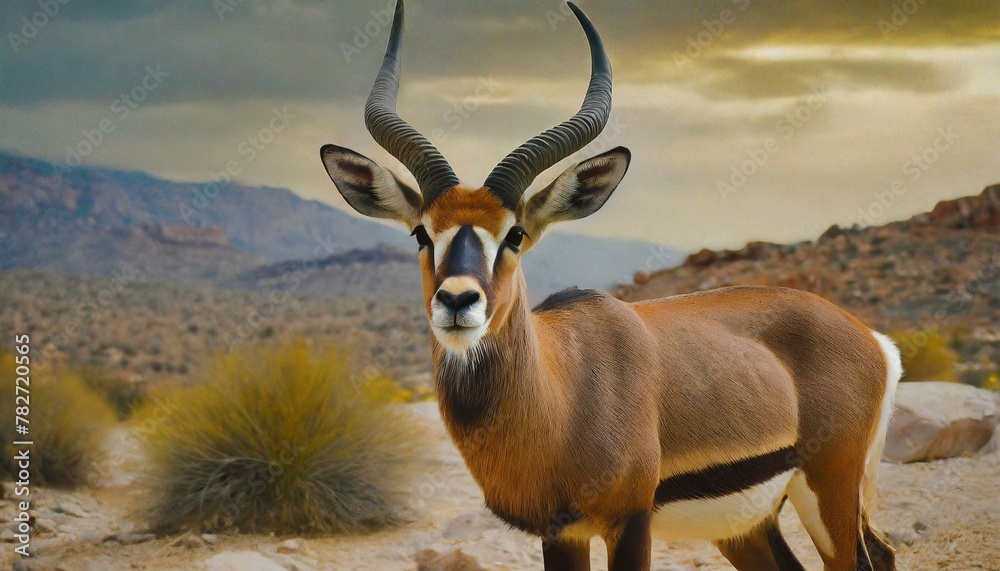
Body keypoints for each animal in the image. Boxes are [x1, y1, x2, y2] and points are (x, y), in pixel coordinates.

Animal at [320, 2, 900, 569]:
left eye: (515, 233)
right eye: (421, 232)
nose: (458, 300)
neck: (560, 389)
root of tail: (873, 340)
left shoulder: (630, 522)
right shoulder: (560, 533)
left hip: (828, 491)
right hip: (747, 526)